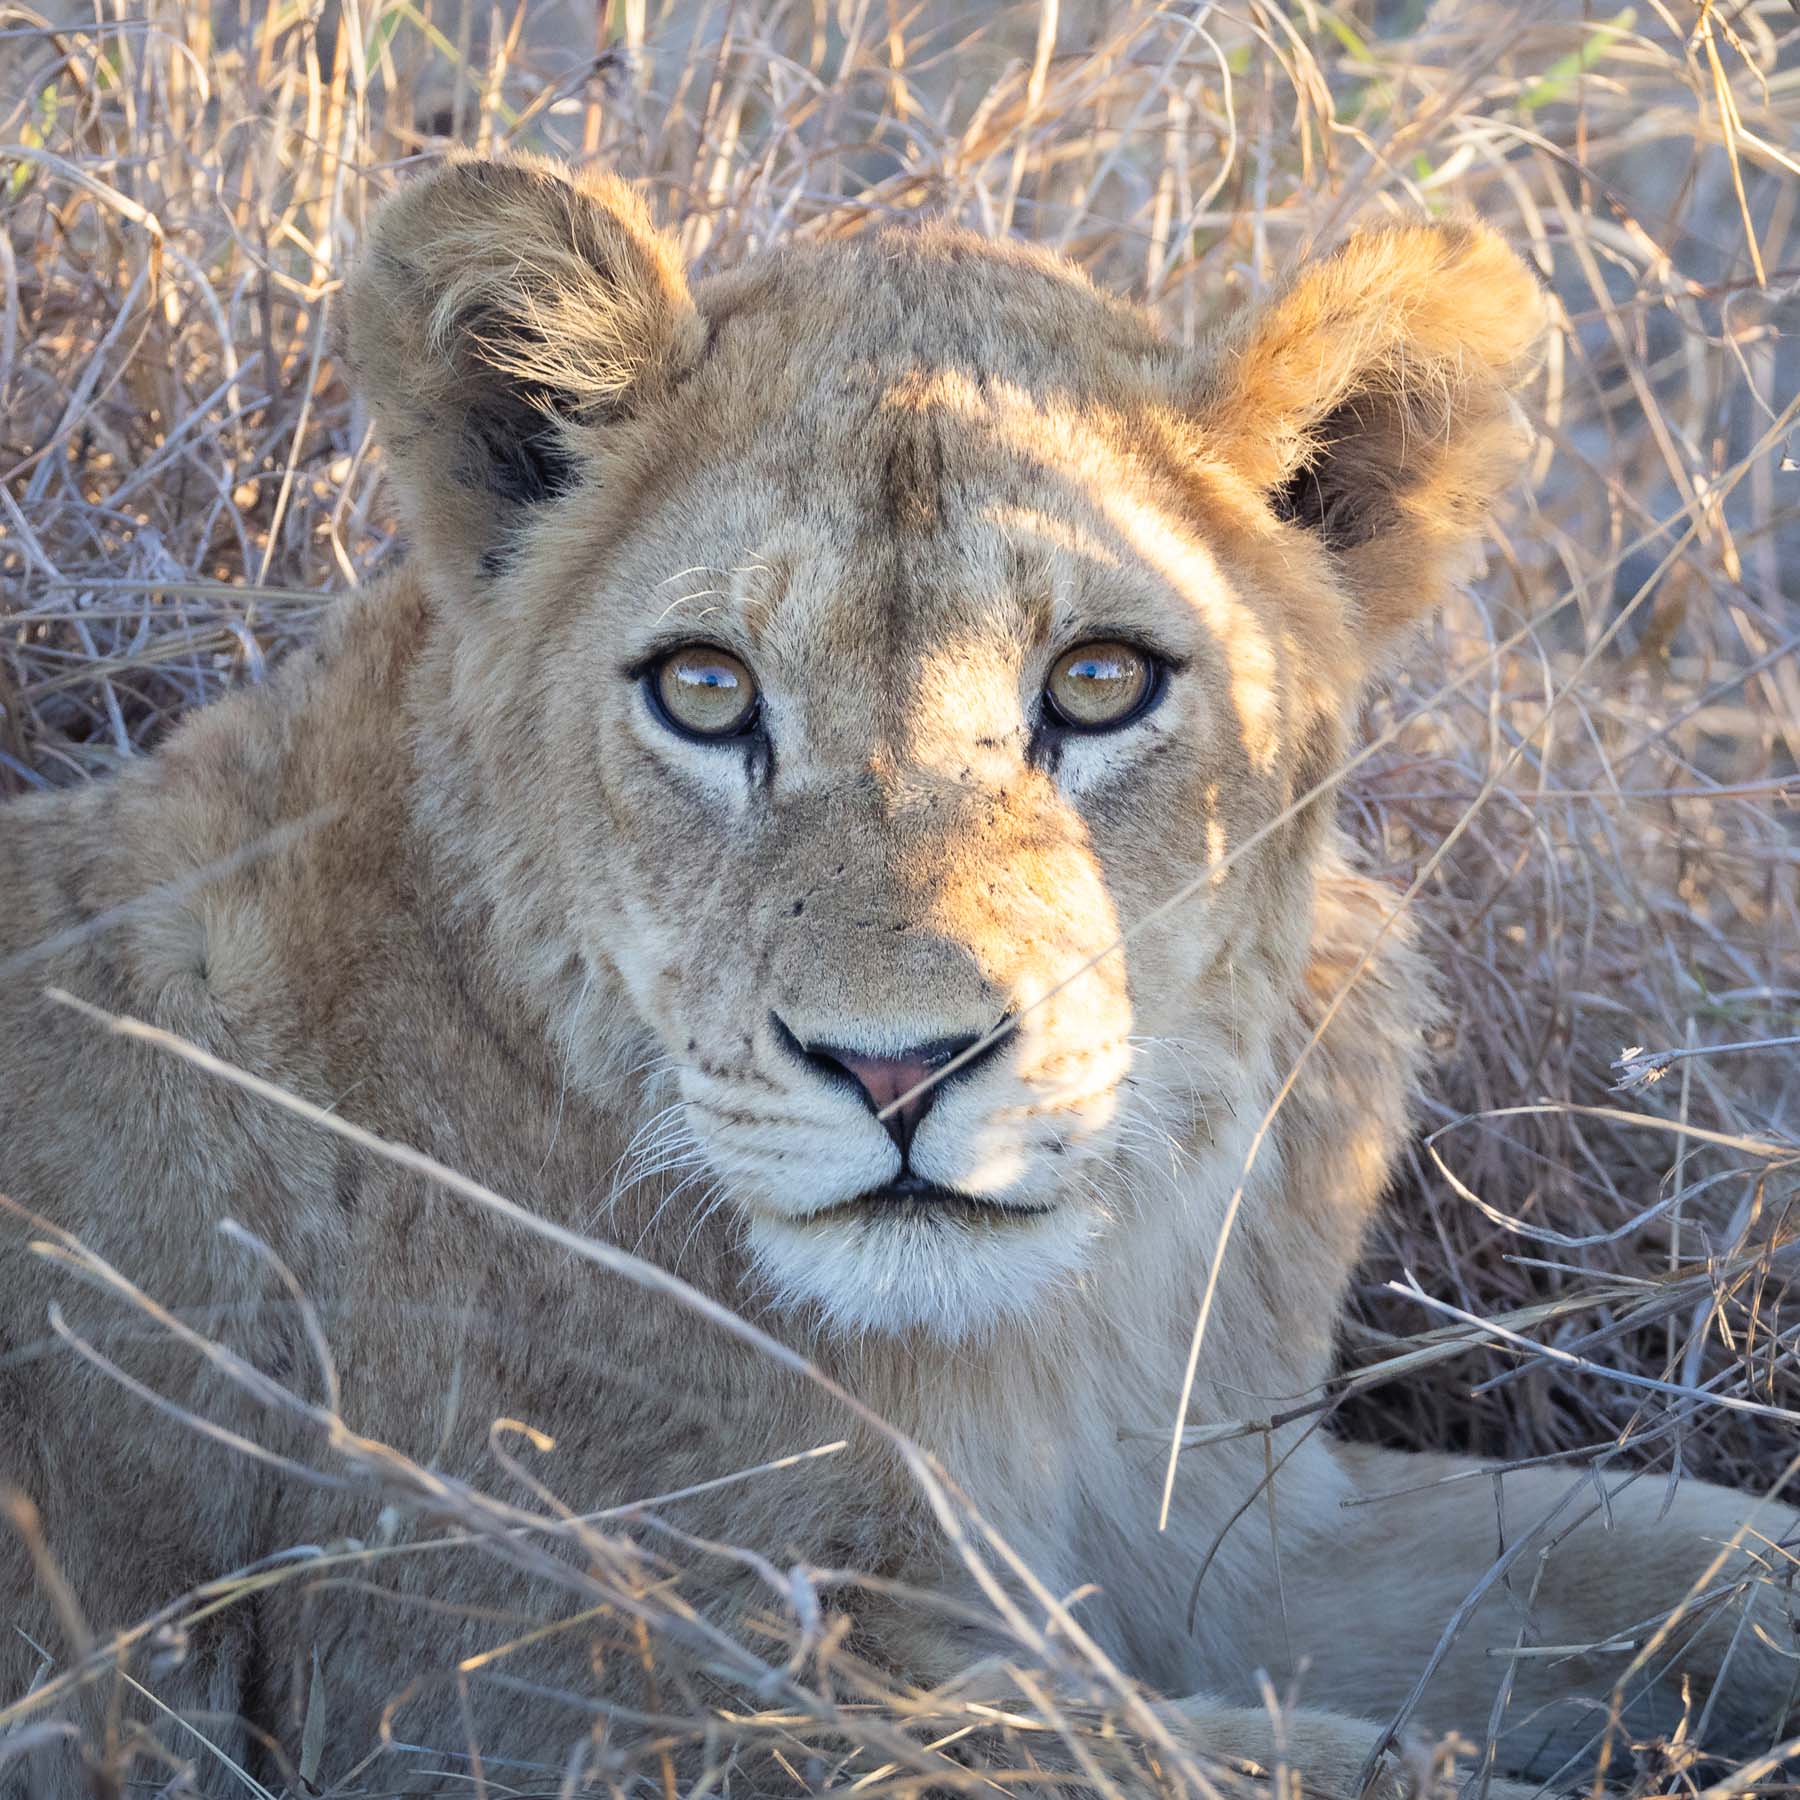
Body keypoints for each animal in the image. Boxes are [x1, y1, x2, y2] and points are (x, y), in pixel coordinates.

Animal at [1, 153, 1794, 1798]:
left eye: (1099, 680)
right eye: (707, 691)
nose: (895, 1070)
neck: (1040, 1344)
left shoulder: (1232, 1526)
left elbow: (1686, 1552)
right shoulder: (545, 1686)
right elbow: (1297, 1772)